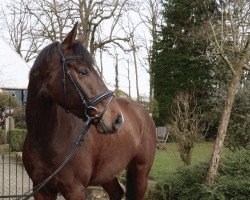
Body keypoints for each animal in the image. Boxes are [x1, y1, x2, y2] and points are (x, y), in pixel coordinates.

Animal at [23, 23, 156, 200]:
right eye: (83, 71)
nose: (117, 119)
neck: (44, 138)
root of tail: (144, 113)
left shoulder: (76, 190)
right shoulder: (41, 190)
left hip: (141, 174)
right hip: (107, 172)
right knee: (116, 192)